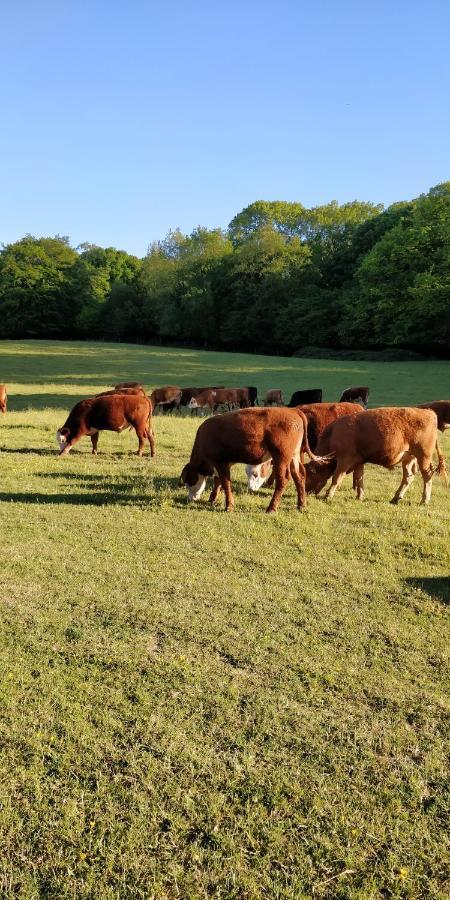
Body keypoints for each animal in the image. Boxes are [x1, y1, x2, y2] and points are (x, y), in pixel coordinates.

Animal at [179, 404, 330, 510]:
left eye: (187, 481)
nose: (190, 499)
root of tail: (293, 411)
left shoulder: (220, 462)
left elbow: (226, 483)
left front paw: (229, 506)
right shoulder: (224, 463)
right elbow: (218, 481)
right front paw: (212, 499)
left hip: (281, 457)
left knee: (283, 480)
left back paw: (272, 508)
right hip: (294, 455)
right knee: (299, 476)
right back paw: (301, 505)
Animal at [306, 408, 446, 506]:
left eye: (309, 475)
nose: (307, 492)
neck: (332, 435)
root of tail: (429, 412)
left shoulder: (344, 460)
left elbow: (336, 478)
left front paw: (328, 496)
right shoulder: (359, 461)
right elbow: (359, 477)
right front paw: (360, 496)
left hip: (423, 457)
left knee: (427, 475)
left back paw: (424, 500)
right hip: (409, 458)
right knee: (408, 476)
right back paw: (395, 498)